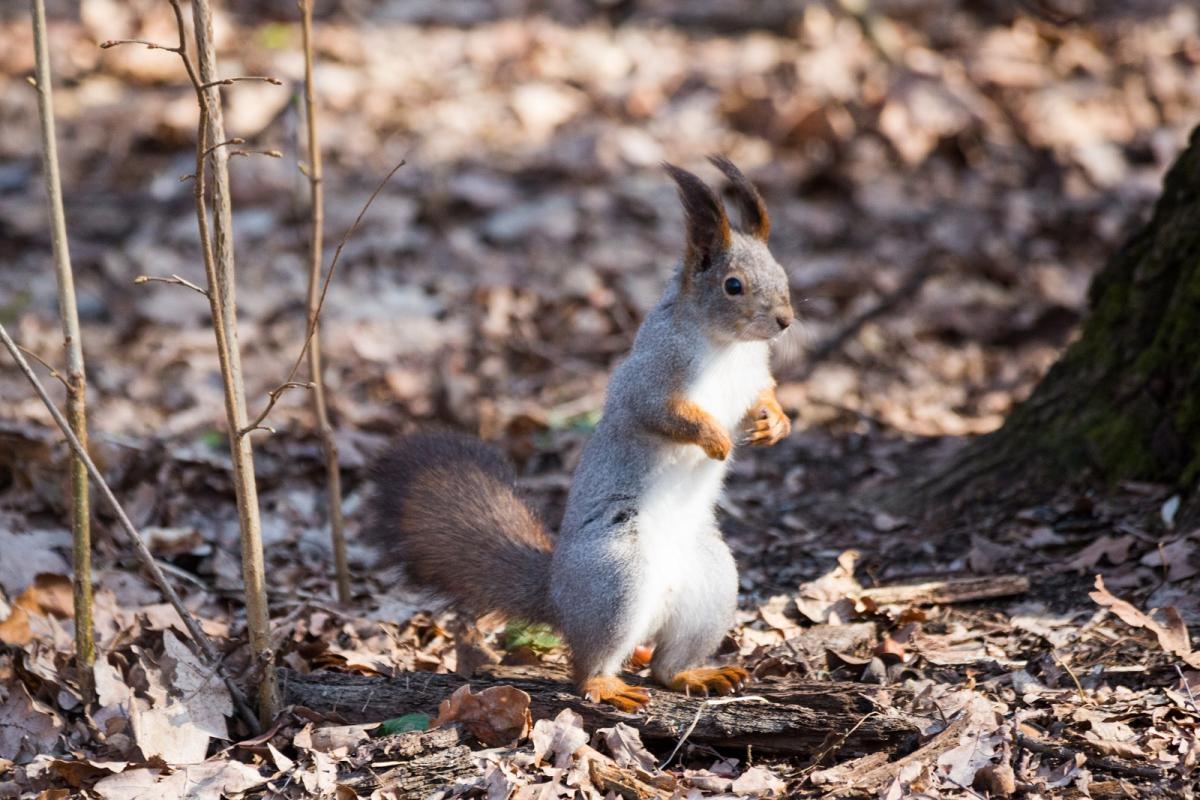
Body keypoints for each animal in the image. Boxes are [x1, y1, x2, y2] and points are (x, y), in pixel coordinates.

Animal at [364, 158, 796, 714]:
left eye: (782, 274)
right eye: (733, 286)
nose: (785, 321)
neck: (727, 347)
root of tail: (559, 596)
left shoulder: (753, 377)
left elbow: (766, 394)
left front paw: (776, 423)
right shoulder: (648, 380)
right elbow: (662, 414)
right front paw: (716, 439)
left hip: (712, 584)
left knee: (664, 666)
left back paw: (695, 674)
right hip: (617, 577)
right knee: (583, 668)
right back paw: (606, 685)